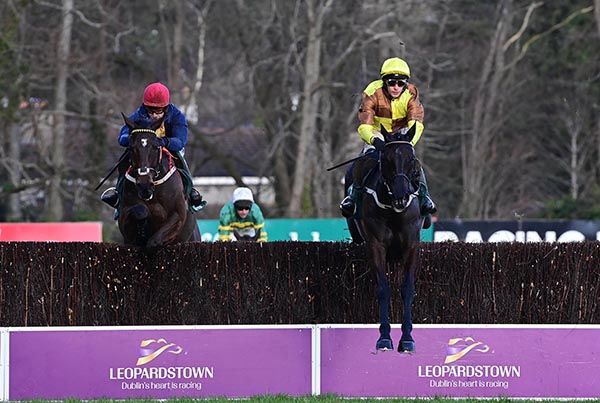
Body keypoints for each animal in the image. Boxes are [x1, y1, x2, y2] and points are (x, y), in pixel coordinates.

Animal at [344, 125, 424, 354]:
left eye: (411, 160)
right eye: (386, 160)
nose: (402, 196)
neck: (393, 209)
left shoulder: (411, 245)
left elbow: (407, 289)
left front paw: (407, 339)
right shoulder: (375, 245)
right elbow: (383, 289)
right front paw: (384, 338)